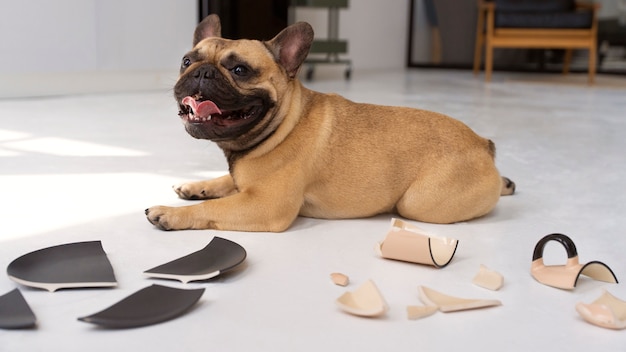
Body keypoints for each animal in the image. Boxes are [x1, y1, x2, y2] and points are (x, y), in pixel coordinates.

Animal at [145, 15, 512, 232]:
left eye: (239, 70)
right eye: (186, 61)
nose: (202, 72)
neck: (282, 125)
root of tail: (483, 144)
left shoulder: (264, 205)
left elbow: (218, 207)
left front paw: (170, 213)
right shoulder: (245, 184)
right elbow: (226, 182)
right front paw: (196, 186)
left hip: (418, 203)